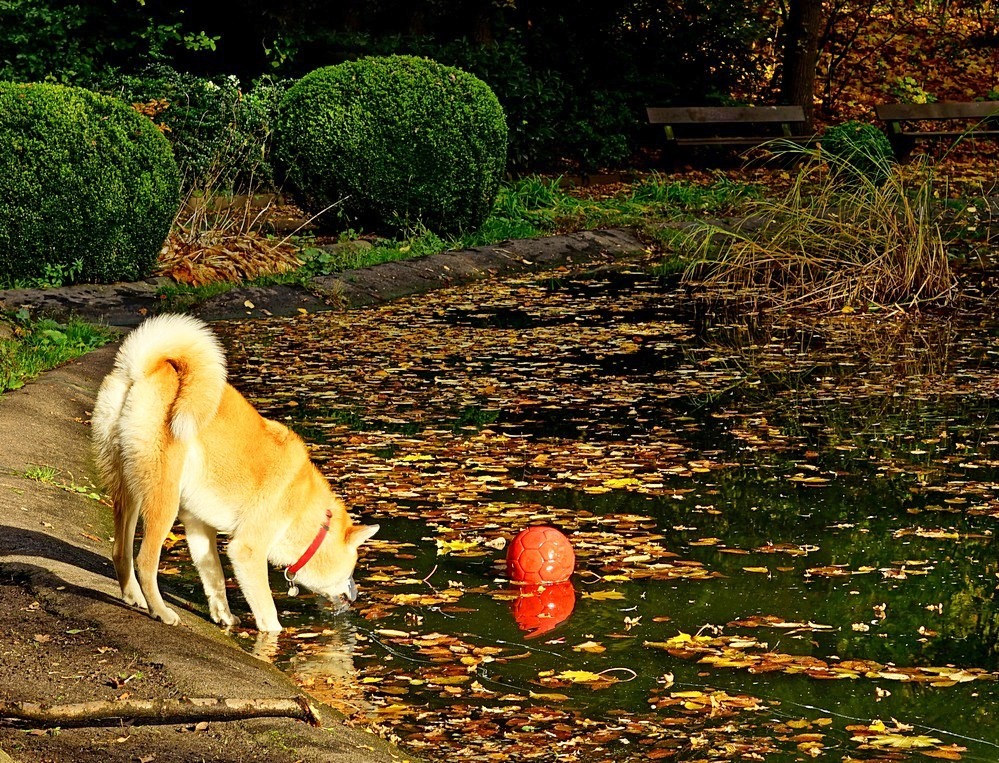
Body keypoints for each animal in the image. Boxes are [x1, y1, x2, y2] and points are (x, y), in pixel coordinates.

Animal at [92, 314, 378, 632]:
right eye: (352, 569)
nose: (356, 594)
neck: (307, 512)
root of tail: (142, 370)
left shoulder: (200, 528)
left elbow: (215, 578)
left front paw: (224, 616)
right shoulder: (248, 550)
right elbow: (266, 609)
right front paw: (273, 635)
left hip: (129, 491)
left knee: (120, 552)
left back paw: (134, 597)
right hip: (162, 500)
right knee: (144, 561)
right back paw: (161, 611)